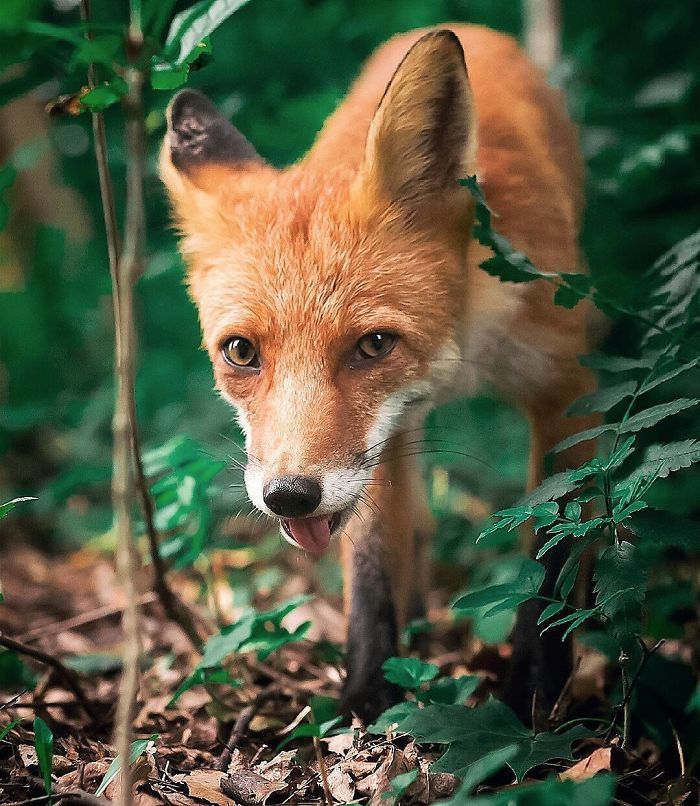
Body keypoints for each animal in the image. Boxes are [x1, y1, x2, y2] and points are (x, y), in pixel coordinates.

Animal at [161, 25, 600, 724]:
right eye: (240, 352)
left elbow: (555, 546)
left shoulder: (565, 383)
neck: (463, 336)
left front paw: (535, 692)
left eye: (372, 345)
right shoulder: (372, 454)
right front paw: (367, 695)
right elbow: (369, 567)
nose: (289, 495)